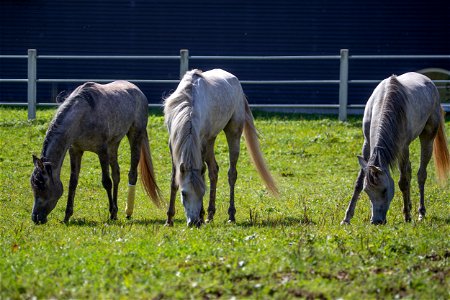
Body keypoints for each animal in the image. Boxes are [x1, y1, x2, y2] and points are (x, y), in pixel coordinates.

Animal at [29, 81, 162, 224]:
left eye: (41, 185)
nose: (35, 218)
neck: (83, 116)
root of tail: (139, 92)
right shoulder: (75, 151)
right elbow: (72, 182)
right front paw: (67, 216)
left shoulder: (102, 150)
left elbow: (106, 182)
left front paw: (112, 213)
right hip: (113, 145)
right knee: (116, 174)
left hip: (135, 136)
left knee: (132, 174)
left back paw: (128, 212)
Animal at [163, 69, 280, 226]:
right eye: (184, 193)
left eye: (202, 192)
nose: (194, 222)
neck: (189, 105)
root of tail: (236, 82)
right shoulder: (173, 145)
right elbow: (174, 180)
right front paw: (169, 219)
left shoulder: (201, 143)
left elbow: (203, 176)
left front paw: (201, 215)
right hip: (211, 141)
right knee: (214, 171)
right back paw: (210, 214)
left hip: (232, 134)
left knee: (231, 174)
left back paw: (230, 215)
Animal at [342, 71, 448, 224]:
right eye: (367, 191)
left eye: (385, 190)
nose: (376, 221)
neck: (386, 102)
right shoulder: (367, 144)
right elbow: (358, 182)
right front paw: (347, 218)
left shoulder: (403, 147)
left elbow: (403, 182)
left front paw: (407, 216)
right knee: (409, 171)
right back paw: (409, 205)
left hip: (427, 137)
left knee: (420, 175)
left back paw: (421, 212)